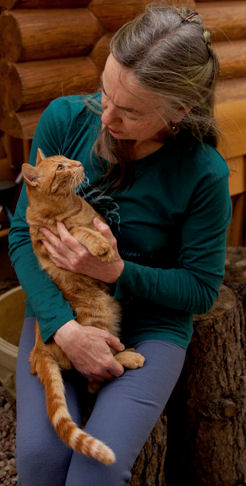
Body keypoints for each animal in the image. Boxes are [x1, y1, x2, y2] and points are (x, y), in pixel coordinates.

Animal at [21, 149, 144, 468]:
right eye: (60, 167)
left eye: (65, 158)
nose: (77, 164)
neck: (70, 204)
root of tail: (38, 351)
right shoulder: (51, 238)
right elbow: (79, 231)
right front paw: (102, 247)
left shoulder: (96, 219)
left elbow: (97, 227)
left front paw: (110, 246)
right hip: (99, 316)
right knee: (95, 377)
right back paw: (129, 357)